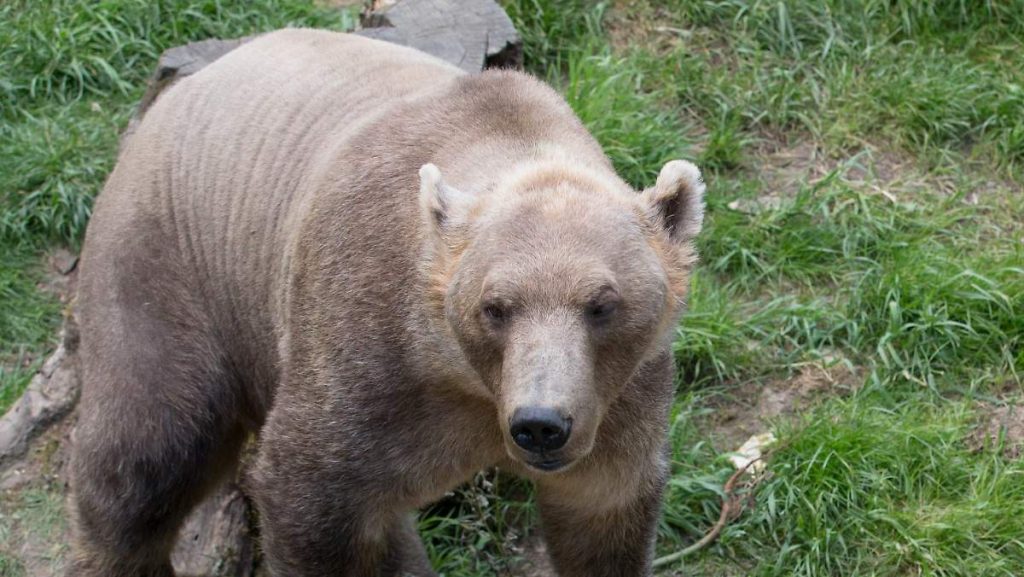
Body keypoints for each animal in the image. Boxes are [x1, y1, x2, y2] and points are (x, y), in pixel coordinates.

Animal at [68, 28, 705, 577]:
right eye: (494, 306)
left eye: (603, 304)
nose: (540, 425)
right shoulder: (363, 353)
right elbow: (307, 495)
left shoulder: (622, 398)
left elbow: (604, 514)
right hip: (170, 268)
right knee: (147, 451)